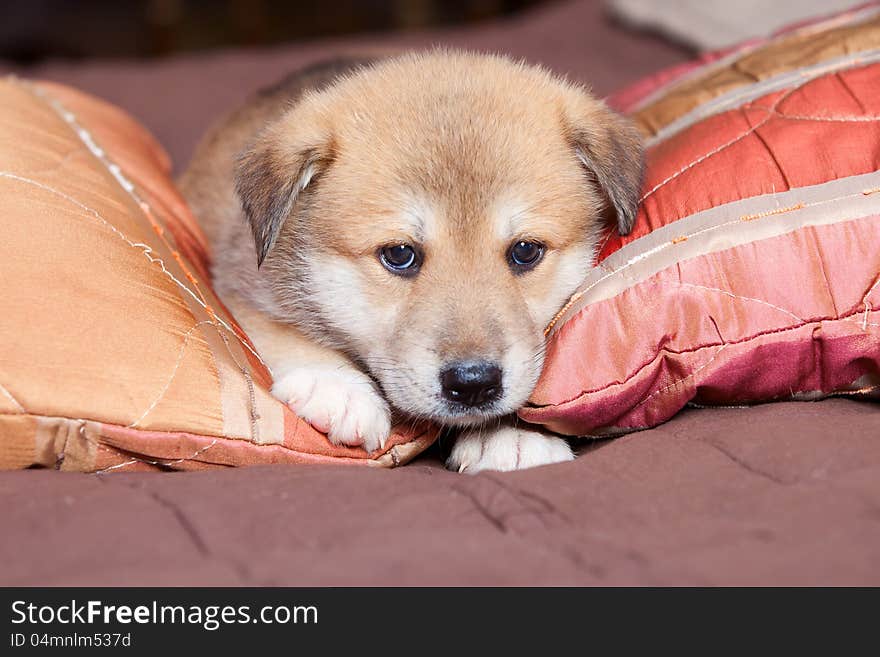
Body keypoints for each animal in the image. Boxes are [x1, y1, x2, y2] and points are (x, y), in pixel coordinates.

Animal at [179, 51, 644, 472]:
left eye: (526, 251)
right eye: (400, 255)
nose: (473, 384)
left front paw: (513, 435)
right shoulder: (240, 289)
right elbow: (282, 333)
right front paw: (339, 388)